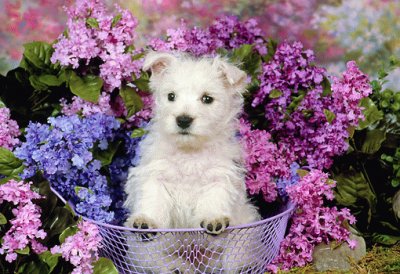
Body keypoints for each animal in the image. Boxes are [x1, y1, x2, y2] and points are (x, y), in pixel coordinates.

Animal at [126, 52, 260, 274]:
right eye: (171, 96)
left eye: (207, 99)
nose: (183, 120)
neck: (189, 152)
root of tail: (199, 264)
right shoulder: (155, 176)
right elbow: (153, 200)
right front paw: (146, 221)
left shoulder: (219, 177)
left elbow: (213, 199)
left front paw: (214, 220)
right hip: (148, 254)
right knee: (164, 263)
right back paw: (178, 268)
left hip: (240, 242)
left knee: (232, 262)